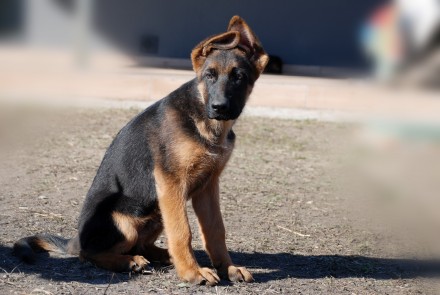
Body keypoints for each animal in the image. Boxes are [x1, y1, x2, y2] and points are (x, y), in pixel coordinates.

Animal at [13, 15, 268, 286]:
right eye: (209, 76)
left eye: (239, 77)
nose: (219, 107)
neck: (205, 123)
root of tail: (76, 238)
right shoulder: (171, 182)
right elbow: (182, 231)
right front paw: (192, 272)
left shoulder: (207, 186)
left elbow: (215, 230)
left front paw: (228, 268)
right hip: (127, 217)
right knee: (89, 253)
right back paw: (127, 261)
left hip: (156, 210)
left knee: (142, 245)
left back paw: (162, 256)